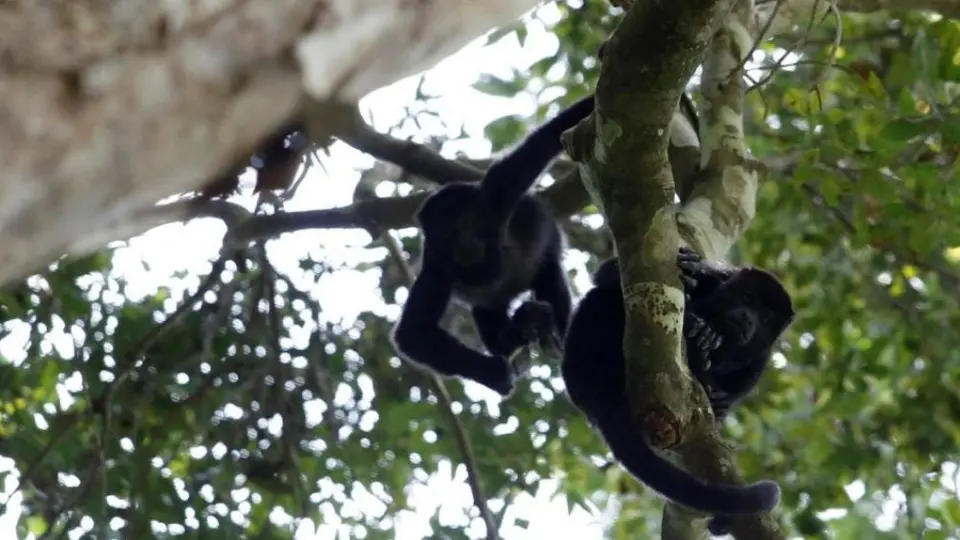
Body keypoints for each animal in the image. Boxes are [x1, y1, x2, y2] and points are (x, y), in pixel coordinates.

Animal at [391, 94, 595, 396]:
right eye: (446, 232)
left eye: (468, 221)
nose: (465, 242)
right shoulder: (436, 267)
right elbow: (413, 333)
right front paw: (493, 373)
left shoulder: (498, 192)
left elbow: (544, 141)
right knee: (485, 312)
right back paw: (517, 335)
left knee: (550, 276)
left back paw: (552, 336)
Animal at [561, 247, 795, 521]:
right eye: (747, 298)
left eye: (766, 319)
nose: (748, 319)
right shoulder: (718, 275)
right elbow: (607, 273)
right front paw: (693, 269)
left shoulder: (760, 358)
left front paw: (718, 399)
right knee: (602, 298)